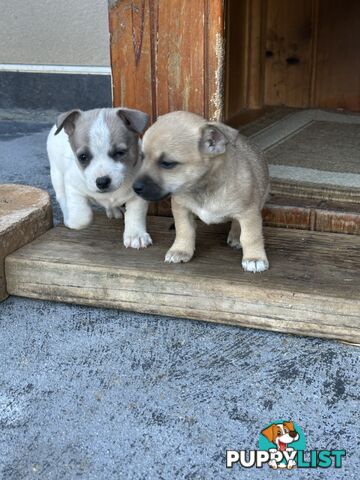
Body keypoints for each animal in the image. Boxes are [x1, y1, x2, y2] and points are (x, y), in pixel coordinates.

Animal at [46, 107, 152, 249]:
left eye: (120, 153)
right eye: (83, 157)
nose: (102, 182)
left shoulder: (138, 195)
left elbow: (135, 214)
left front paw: (136, 235)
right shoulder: (73, 186)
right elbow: (83, 218)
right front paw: (73, 221)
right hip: (56, 175)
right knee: (62, 197)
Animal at [134, 110, 268, 272]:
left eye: (167, 164)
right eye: (142, 157)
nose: (135, 188)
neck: (202, 188)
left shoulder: (249, 213)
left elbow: (251, 237)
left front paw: (254, 258)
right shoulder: (181, 209)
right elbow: (184, 230)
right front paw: (181, 250)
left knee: (237, 223)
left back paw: (236, 236)